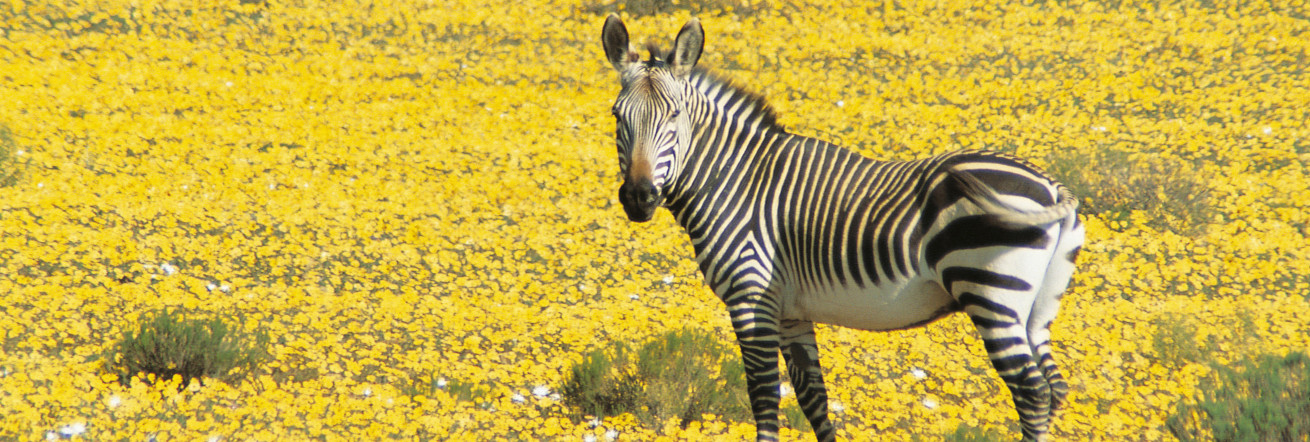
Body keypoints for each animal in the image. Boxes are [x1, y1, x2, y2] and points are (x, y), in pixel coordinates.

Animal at [599, 15, 1084, 442]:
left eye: (674, 115)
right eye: (618, 116)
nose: (639, 197)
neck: (736, 180)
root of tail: (1053, 187)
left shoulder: (751, 297)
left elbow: (764, 399)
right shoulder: (790, 310)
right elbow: (813, 398)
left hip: (992, 294)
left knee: (1032, 393)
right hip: (1037, 309)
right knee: (1053, 389)